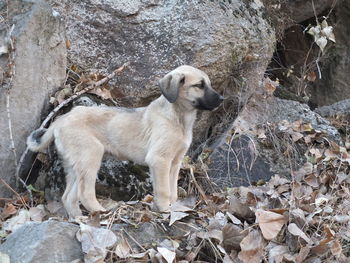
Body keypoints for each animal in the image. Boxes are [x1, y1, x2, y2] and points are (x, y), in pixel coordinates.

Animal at [28, 65, 224, 219]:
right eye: (199, 85)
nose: (222, 99)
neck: (178, 117)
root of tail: (60, 120)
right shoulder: (159, 160)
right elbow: (164, 190)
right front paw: (164, 210)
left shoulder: (175, 162)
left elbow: (173, 191)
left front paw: (171, 207)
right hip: (90, 156)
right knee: (85, 193)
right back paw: (101, 212)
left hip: (75, 164)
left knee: (68, 196)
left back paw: (79, 218)